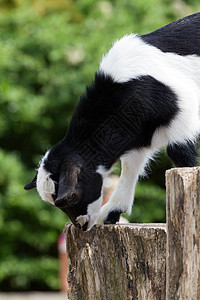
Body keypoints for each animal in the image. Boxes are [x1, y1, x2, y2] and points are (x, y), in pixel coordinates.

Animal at [24, 12, 200, 231]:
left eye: (71, 197)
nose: (81, 226)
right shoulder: (138, 136)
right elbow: (130, 166)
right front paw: (112, 211)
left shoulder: (185, 105)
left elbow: (180, 153)